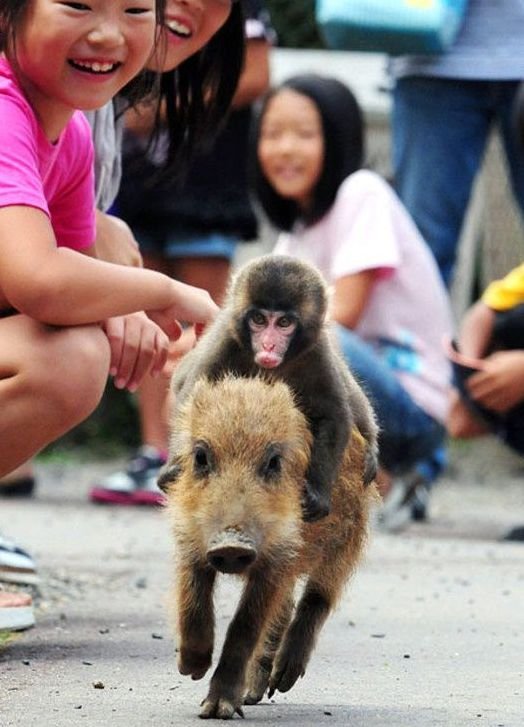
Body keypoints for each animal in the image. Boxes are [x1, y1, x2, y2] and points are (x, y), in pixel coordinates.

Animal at [162, 378, 374, 720]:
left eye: (273, 461)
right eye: (201, 457)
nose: (231, 543)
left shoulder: (280, 556)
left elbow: (245, 625)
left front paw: (218, 711)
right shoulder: (189, 539)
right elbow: (192, 601)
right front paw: (190, 669)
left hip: (348, 538)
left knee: (317, 598)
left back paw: (281, 682)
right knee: (286, 607)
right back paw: (254, 695)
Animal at [166, 256, 378, 524]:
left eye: (284, 323)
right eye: (259, 320)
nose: (268, 345)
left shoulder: (317, 351)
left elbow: (334, 417)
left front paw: (318, 490)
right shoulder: (225, 340)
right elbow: (192, 403)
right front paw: (176, 465)